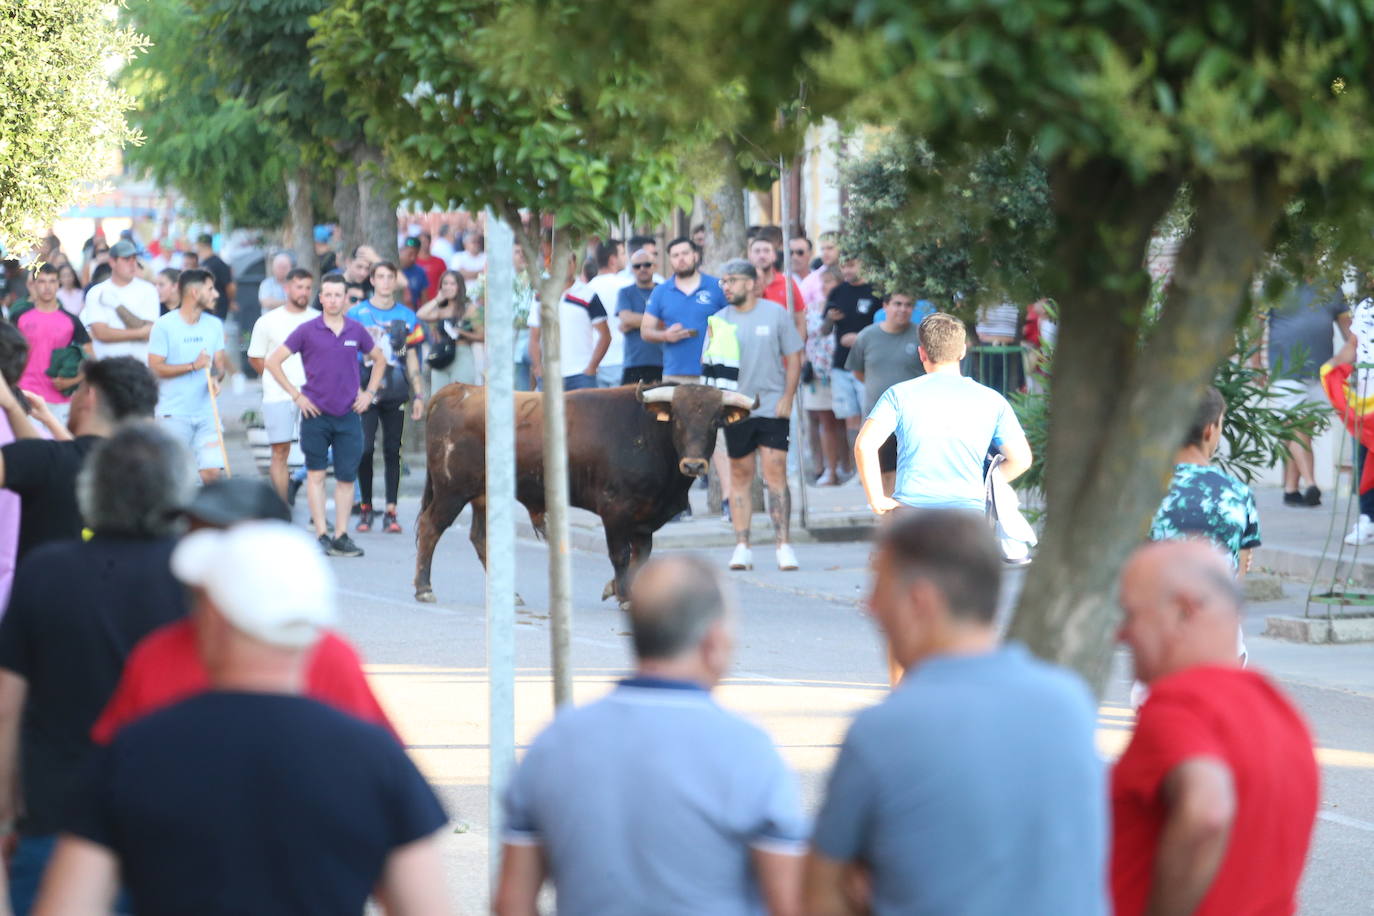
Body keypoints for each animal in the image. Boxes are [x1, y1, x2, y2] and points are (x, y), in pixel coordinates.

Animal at [412, 381, 758, 604]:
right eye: (678, 420)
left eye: (714, 421)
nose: (694, 465)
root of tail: (457, 389)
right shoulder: (616, 511)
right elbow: (620, 555)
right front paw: (623, 595)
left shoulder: (644, 520)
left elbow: (641, 557)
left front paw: (618, 589)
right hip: (452, 491)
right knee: (431, 528)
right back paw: (423, 588)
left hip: (482, 495)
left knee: (480, 538)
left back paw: (508, 595)